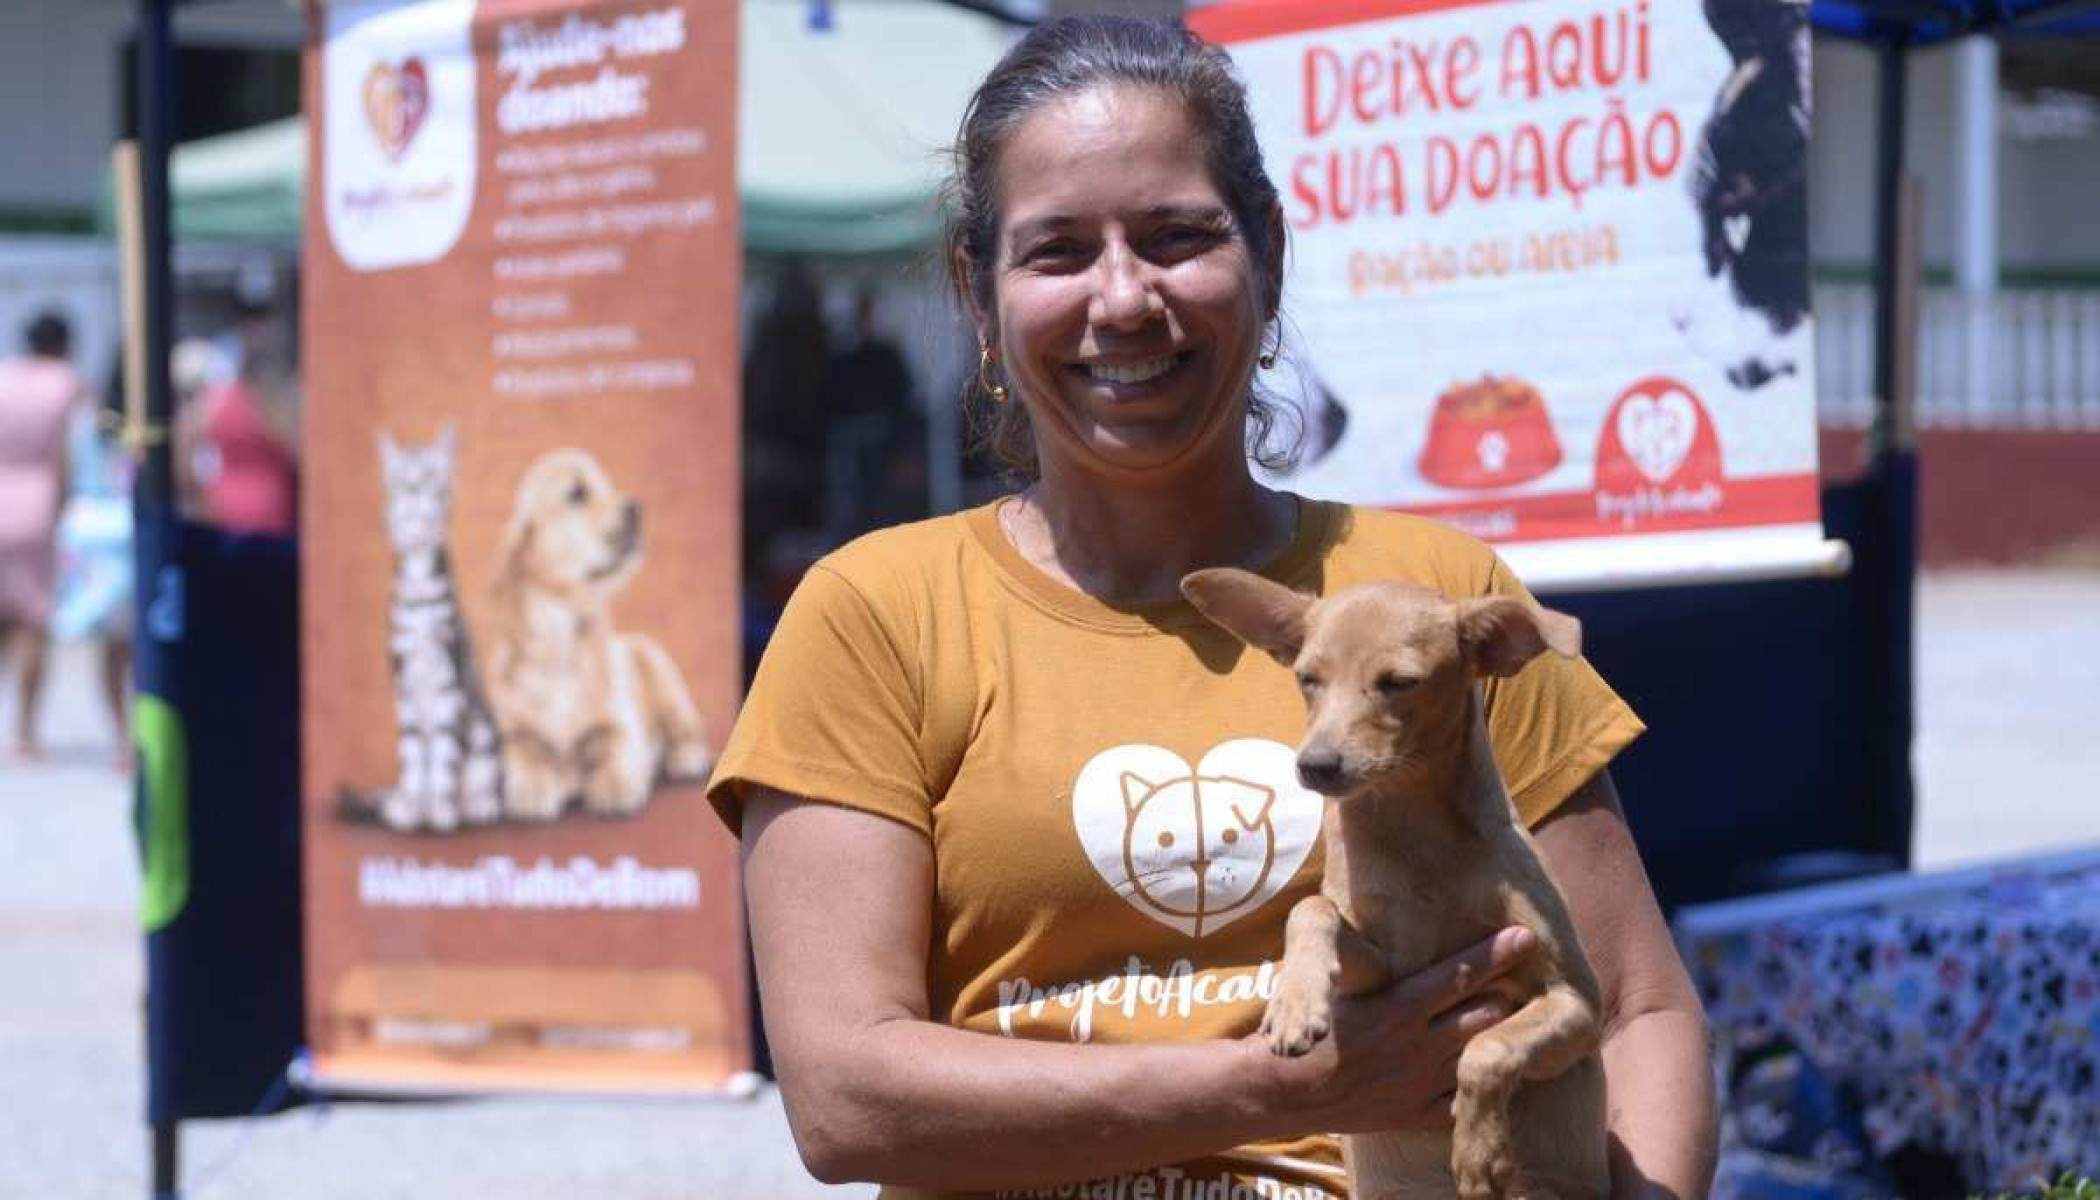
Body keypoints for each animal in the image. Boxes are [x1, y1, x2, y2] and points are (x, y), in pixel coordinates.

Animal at [482, 449, 713, 828]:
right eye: (577, 493)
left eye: (608, 485)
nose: (637, 508)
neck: (560, 636)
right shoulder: (513, 731)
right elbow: (524, 755)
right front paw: (531, 787)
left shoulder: (622, 724)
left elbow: (617, 748)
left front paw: (612, 786)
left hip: (660, 667)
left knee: (686, 731)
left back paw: (686, 757)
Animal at [1184, 571, 1604, 1200]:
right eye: (1307, 678)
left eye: (1400, 683)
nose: (1315, 766)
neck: (1417, 837)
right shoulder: (1382, 980)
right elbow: (1311, 909)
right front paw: (1295, 1002)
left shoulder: (1576, 1003)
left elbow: (1487, 1048)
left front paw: (1478, 1150)